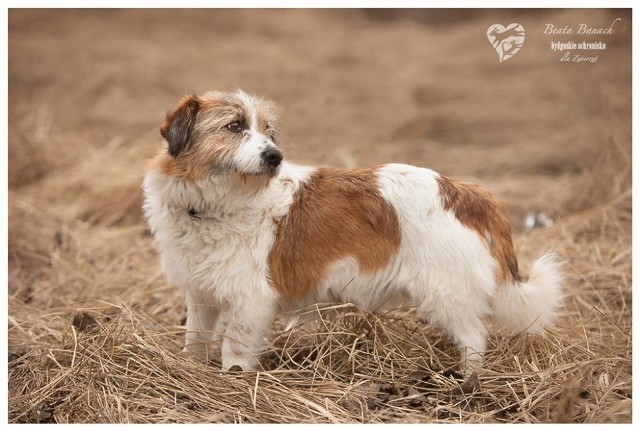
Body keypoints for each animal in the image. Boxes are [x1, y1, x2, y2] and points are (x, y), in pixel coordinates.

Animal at [142, 89, 564, 372]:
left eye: (268, 132)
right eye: (234, 126)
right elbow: (195, 338)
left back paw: (466, 381)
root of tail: (462, 190)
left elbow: (235, 351)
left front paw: (232, 383)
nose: (274, 157)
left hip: (446, 292)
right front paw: (191, 369)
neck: (213, 205)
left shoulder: (251, 301)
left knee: (475, 338)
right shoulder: (201, 293)